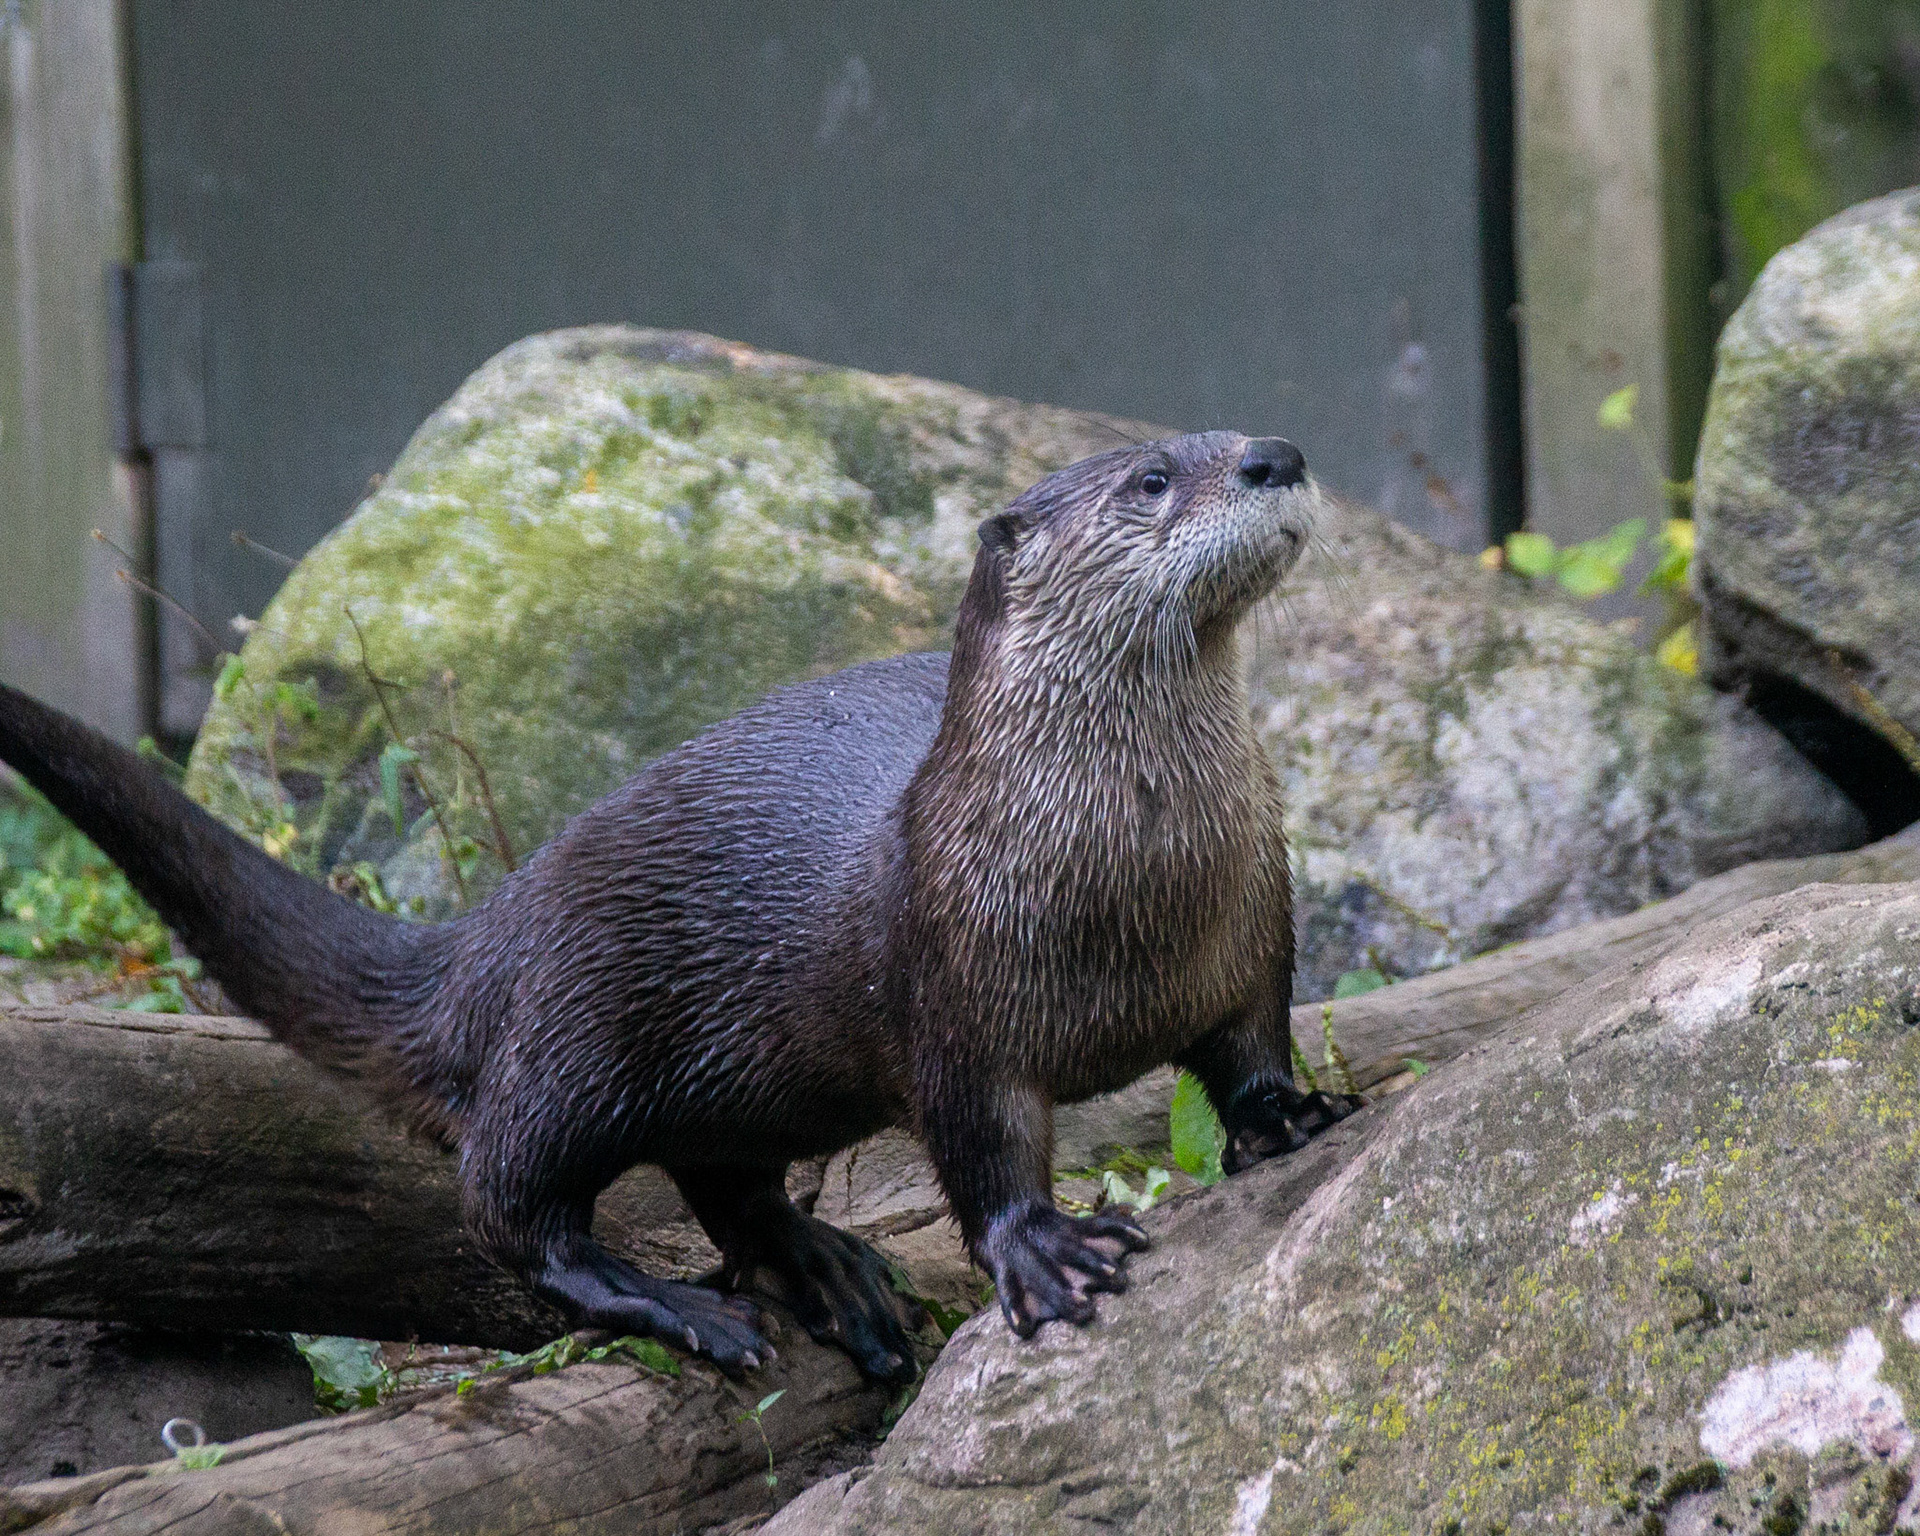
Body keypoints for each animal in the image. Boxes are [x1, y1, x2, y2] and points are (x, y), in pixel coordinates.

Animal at [0, 430, 1354, 1385]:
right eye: (1152, 477)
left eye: (1230, 434)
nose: (1275, 455)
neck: (1134, 881)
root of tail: (489, 932)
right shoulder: (949, 991)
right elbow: (982, 1146)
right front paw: (1045, 1249)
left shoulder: (1249, 929)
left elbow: (1251, 1047)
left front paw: (1294, 1115)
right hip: (576, 1034)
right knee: (507, 1199)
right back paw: (672, 1301)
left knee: (723, 1183)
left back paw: (823, 1266)